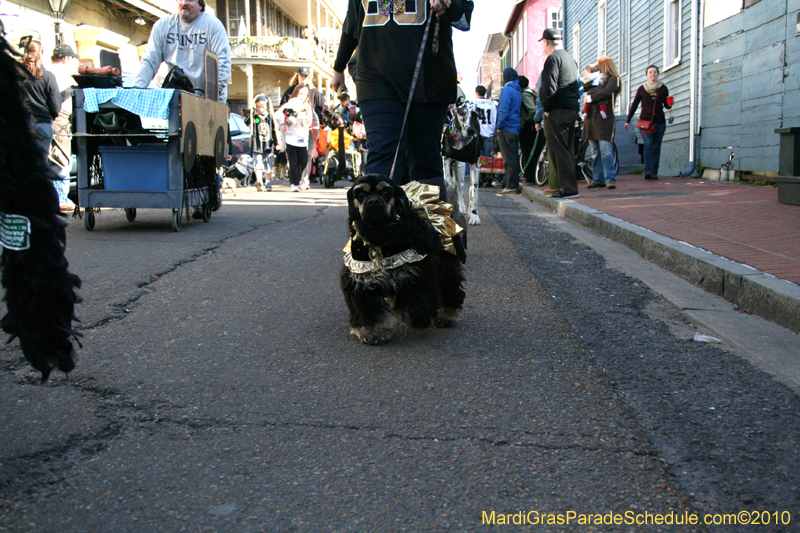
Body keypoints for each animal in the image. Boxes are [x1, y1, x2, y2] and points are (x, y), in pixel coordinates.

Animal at [340, 172, 466, 342]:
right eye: (360, 194)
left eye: (386, 192)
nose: (373, 202)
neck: (381, 235)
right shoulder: (362, 277)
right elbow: (371, 310)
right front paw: (373, 332)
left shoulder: (417, 273)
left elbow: (417, 303)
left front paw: (418, 319)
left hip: (447, 261)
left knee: (450, 287)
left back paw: (446, 315)